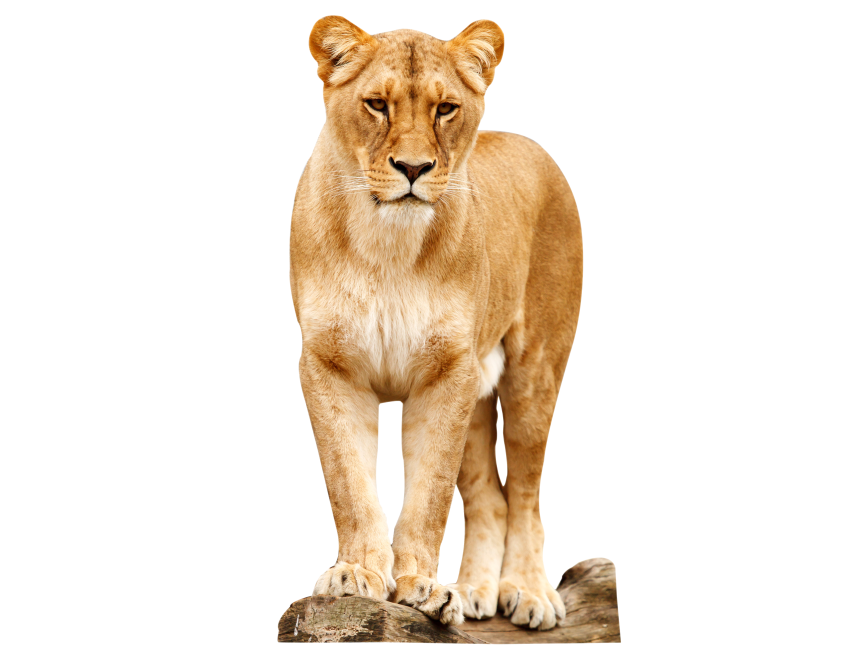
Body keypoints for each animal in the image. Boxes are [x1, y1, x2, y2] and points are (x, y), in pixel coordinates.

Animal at [290, 16, 584, 630]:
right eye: (377, 104)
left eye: (446, 109)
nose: (413, 169)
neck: (387, 244)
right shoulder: (329, 365)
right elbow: (350, 483)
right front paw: (357, 575)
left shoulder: (447, 373)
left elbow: (428, 495)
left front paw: (419, 587)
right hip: (478, 392)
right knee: (491, 499)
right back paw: (473, 592)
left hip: (533, 373)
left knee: (525, 494)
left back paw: (528, 591)